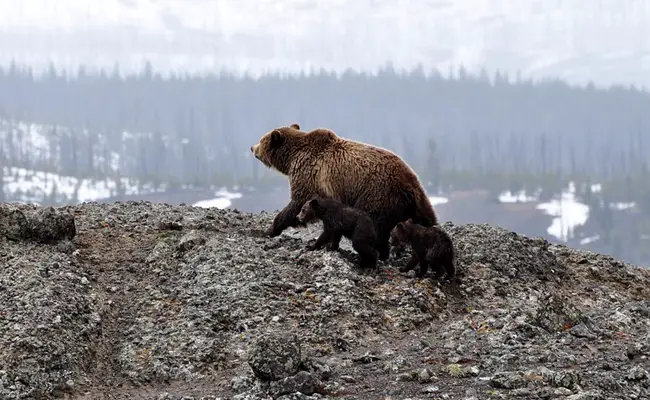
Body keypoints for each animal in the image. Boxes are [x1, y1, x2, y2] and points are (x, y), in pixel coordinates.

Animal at [248, 122, 436, 260]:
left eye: (261, 139)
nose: (251, 147)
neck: (292, 158)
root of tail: (409, 183)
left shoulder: (309, 176)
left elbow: (297, 203)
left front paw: (271, 229)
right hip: (416, 202)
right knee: (426, 220)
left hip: (377, 194)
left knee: (375, 226)